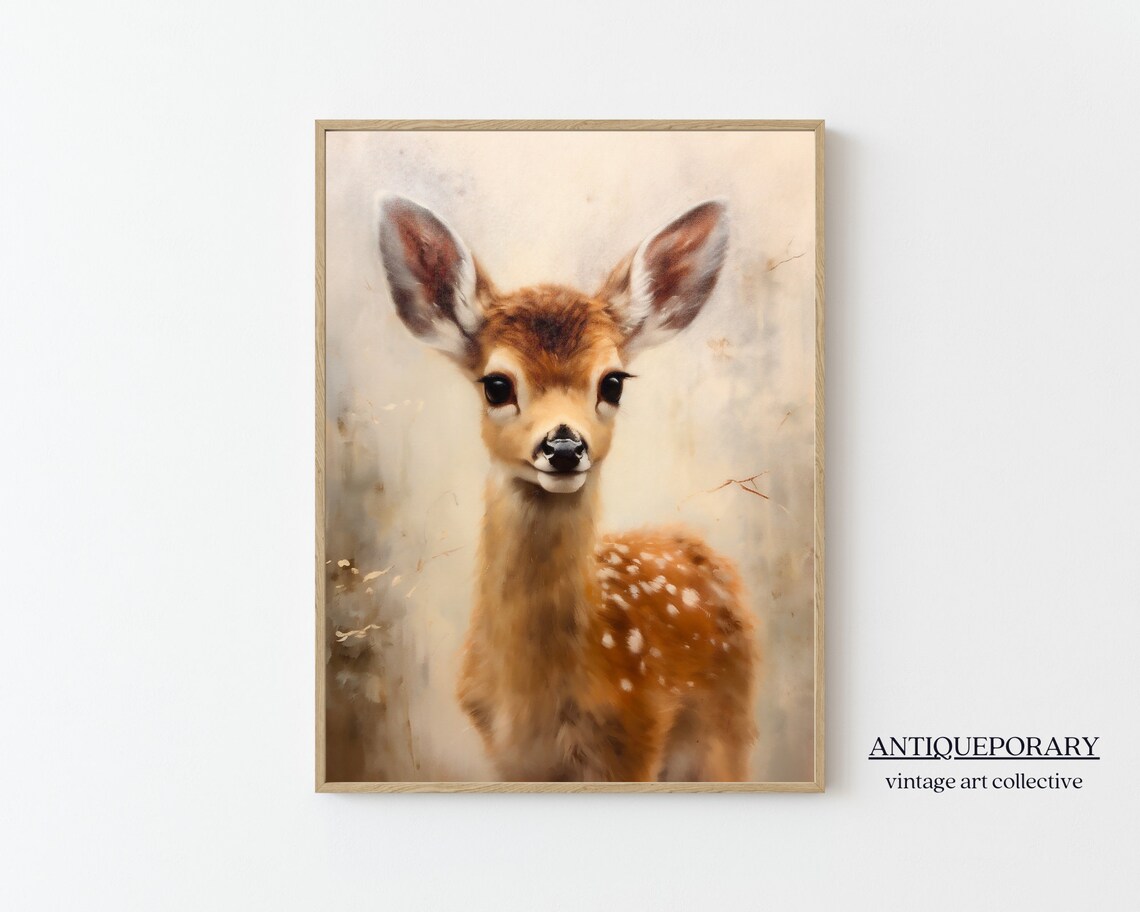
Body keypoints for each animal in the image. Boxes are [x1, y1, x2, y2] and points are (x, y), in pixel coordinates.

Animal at [377, 195, 758, 782]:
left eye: (613, 382)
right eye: (496, 385)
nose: (562, 446)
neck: (534, 705)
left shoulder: (636, 735)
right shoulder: (506, 756)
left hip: (726, 726)